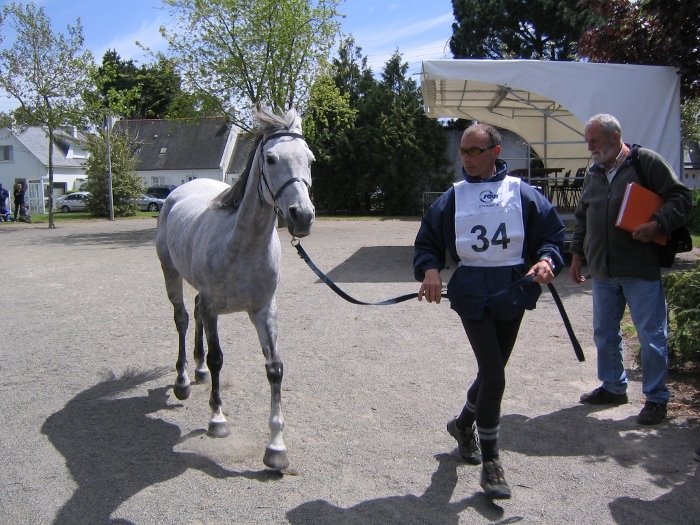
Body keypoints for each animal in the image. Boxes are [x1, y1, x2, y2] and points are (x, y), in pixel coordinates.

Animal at [155, 106, 315, 470]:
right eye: (270, 158)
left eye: (310, 159)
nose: (302, 216)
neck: (242, 246)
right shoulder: (215, 306)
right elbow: (217, 358)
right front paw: (217, 419)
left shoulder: (264, 311)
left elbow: (275, 369)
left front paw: (276, 448)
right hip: (171, 274)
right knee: (183, 318)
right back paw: (183, 381)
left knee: (195, 314)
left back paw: (197, 371)